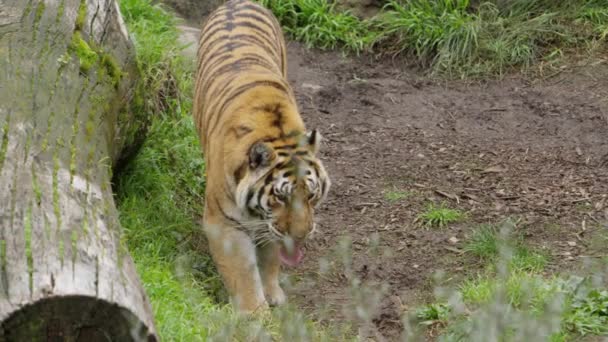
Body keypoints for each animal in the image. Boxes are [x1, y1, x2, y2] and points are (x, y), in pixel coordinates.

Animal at [192, 0, 330, 314]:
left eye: (311, 195)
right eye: (281, 197)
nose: (301, 236)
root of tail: (238, 2)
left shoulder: (271, 227)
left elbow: (270, 256)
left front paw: (273, 294)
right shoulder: (223, 224)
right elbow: (242, 272)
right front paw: (255, 314)